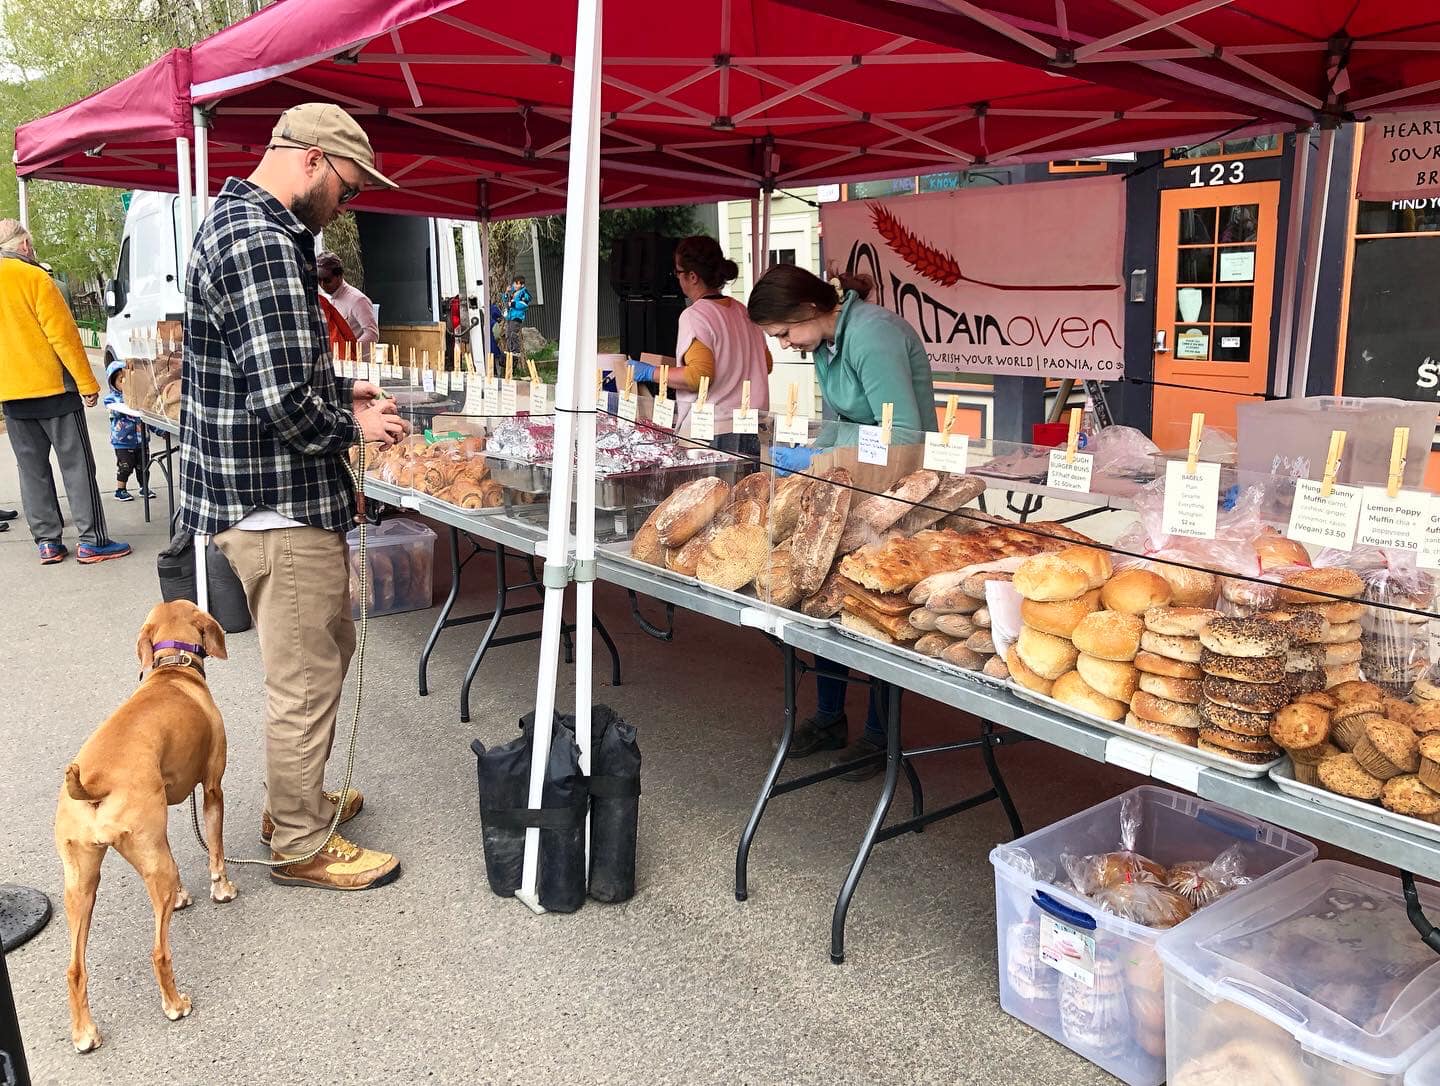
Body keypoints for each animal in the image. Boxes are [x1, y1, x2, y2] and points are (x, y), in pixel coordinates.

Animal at [54, 596, 236, 1042]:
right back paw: (175, 1005)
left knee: (74, 968)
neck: (173, 670)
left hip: (81, 886)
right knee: (158, 952)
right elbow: (216, 851)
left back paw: (84, 1033)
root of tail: (92, 784)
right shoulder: (211, 789)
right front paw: (221, 890)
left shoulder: (162, 825)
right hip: (152, 872)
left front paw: (185, 897)